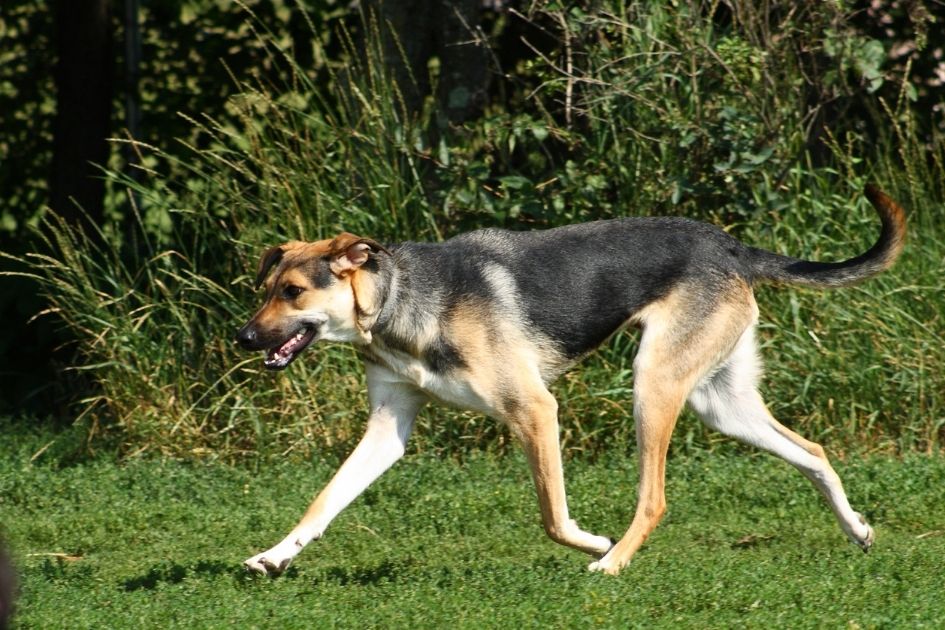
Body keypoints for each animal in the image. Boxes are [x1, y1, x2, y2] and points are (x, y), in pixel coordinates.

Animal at [232, 184, 904, 576]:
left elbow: (553, 517)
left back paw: (615, 563)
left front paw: (597, 543)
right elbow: (324, 500)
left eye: (293, 292)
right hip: (722, 403)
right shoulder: (386, 431)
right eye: (267, 290)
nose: (243, 338)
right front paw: (274, 556)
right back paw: (858, 530)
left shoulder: (534, 411)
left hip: (653, 385)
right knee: (813, 451)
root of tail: (732, 247)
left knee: (655, 499)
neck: (398, 303)